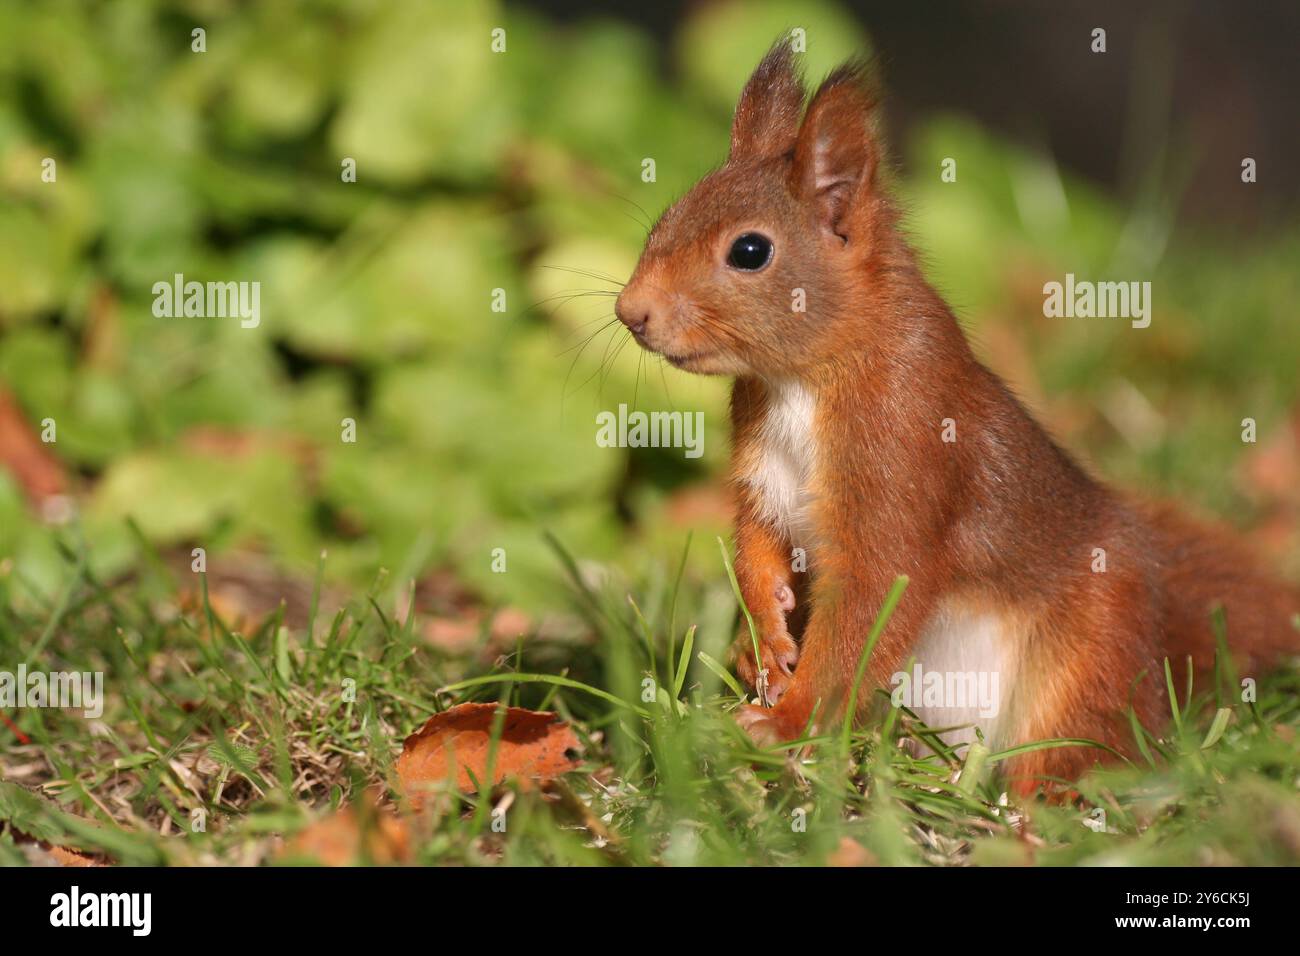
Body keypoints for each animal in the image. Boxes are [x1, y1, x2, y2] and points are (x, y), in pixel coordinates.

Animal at [611, 41, 1300, 790]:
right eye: (665, 218)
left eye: (749, 251)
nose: (630, 312)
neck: (801, 381)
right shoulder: (764, 475)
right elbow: (758, 551)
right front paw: (758, 642)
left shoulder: (903, 461)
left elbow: (868, 611)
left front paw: (788, 721)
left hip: (1091, 654)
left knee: (1076, 747)